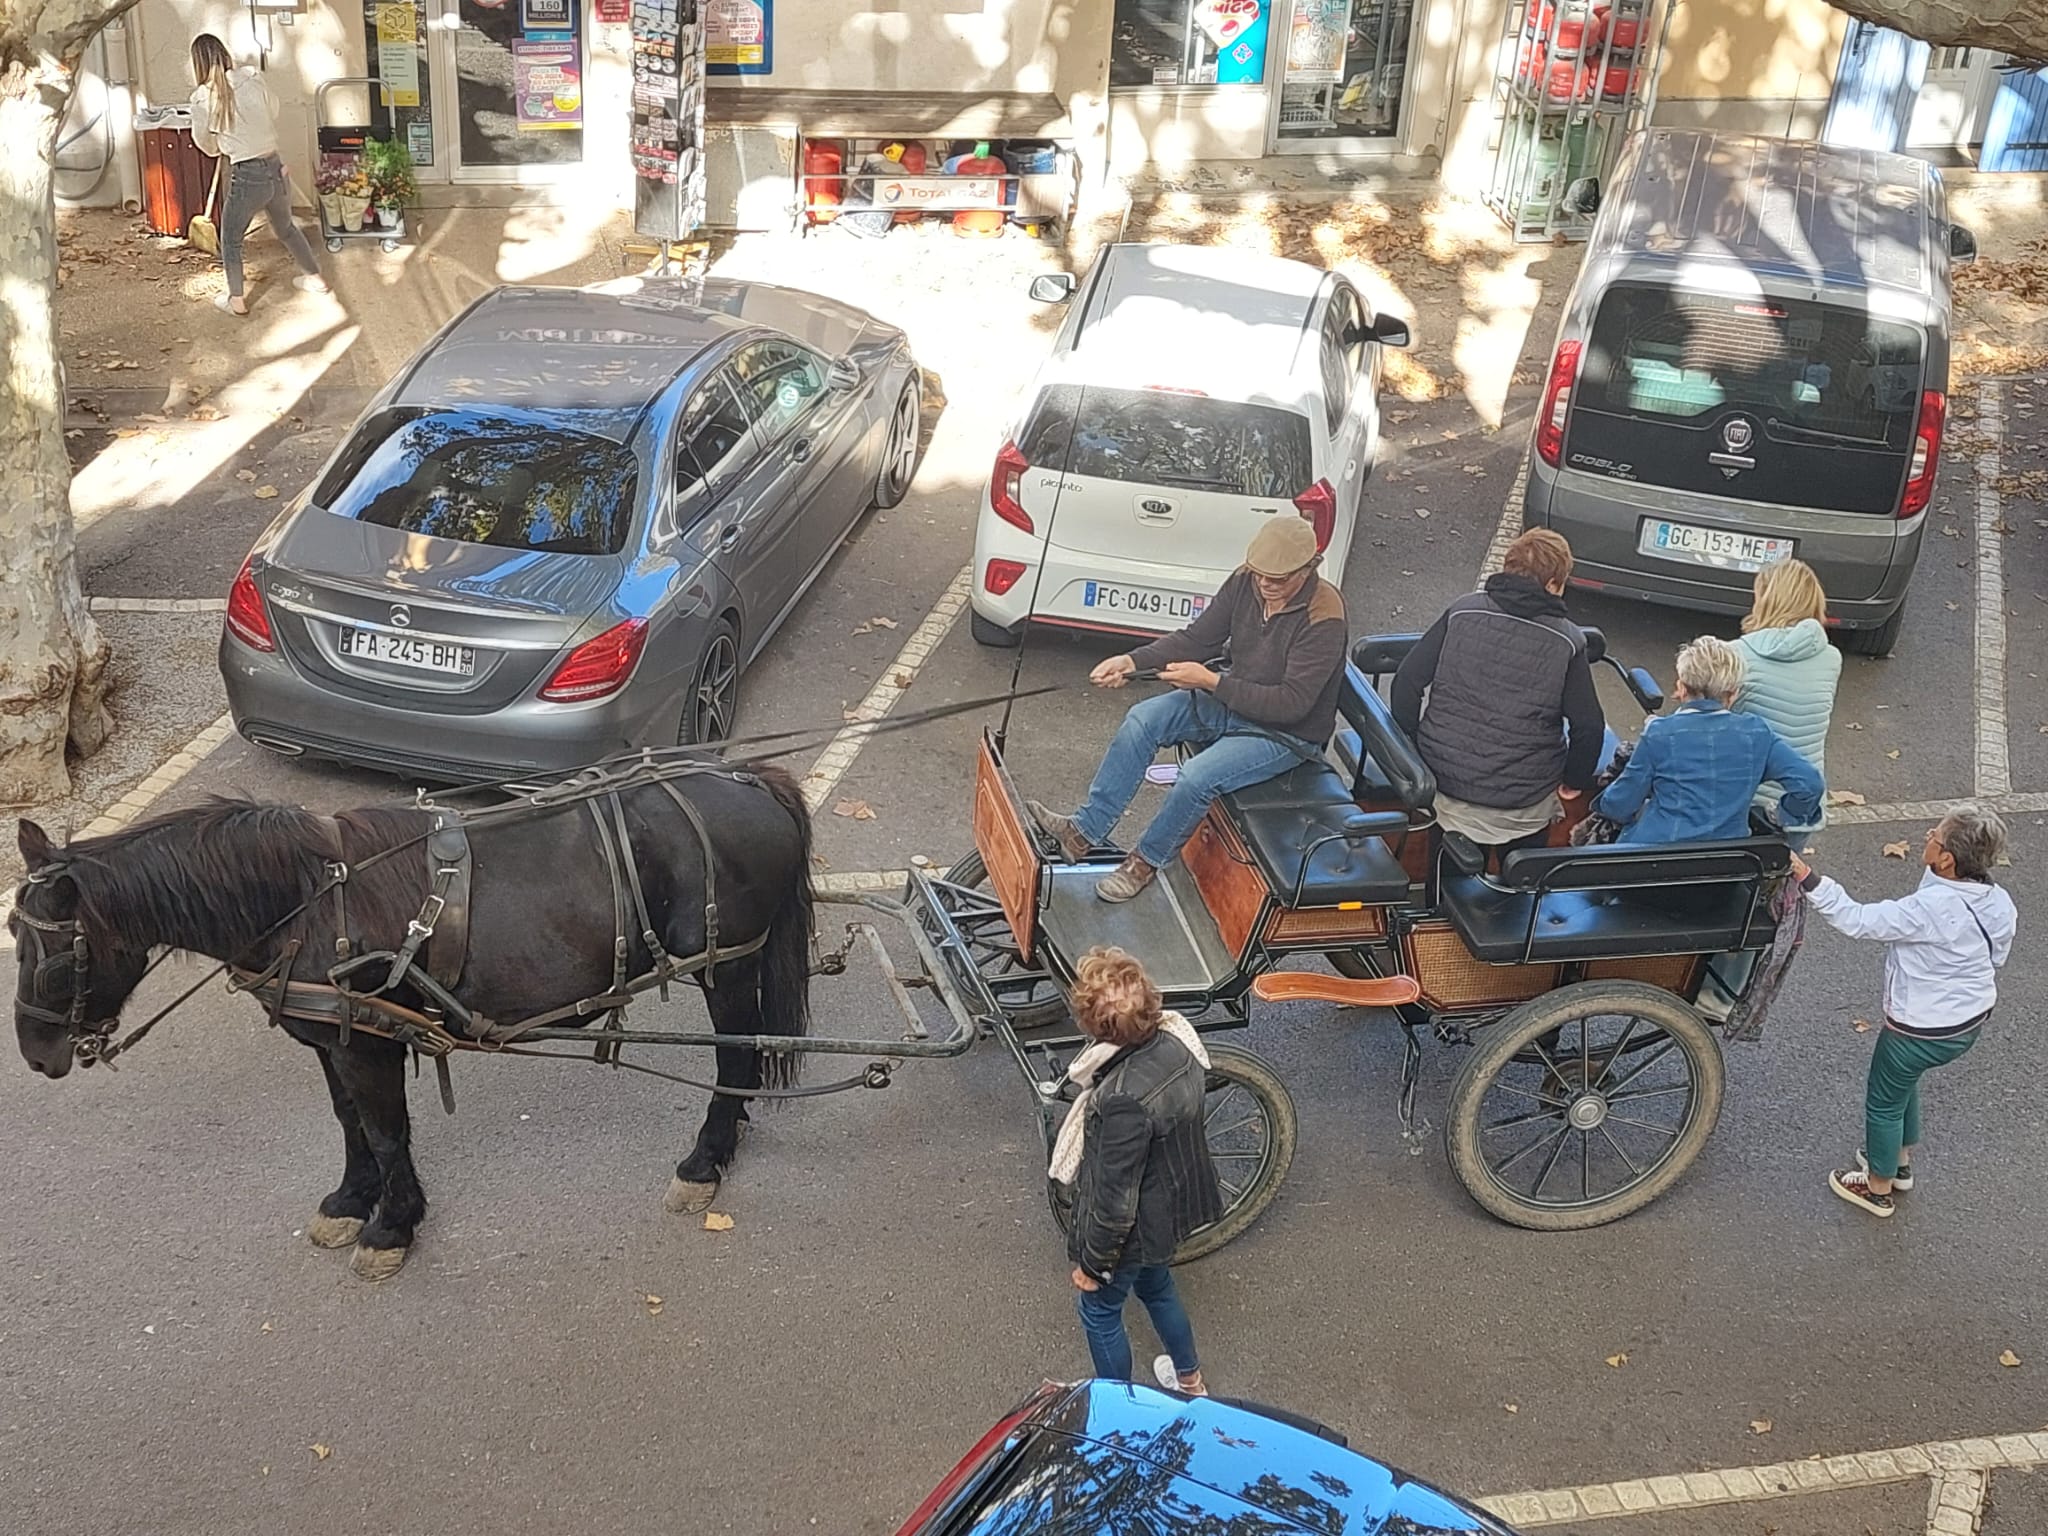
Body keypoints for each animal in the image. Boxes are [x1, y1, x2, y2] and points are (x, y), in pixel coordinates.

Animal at [18, 770, 815, 1286]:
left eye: (55, 957)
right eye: (12, 935)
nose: (35, 1055)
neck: (310, 898)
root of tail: (749, 780)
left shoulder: (368, 1042)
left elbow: (384, 1127)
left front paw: (392, 1225)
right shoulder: (333, 1039)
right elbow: (348, 1122)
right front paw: (351, 1200)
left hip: (727, 967)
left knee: (736, 1057)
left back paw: (706, 1159)